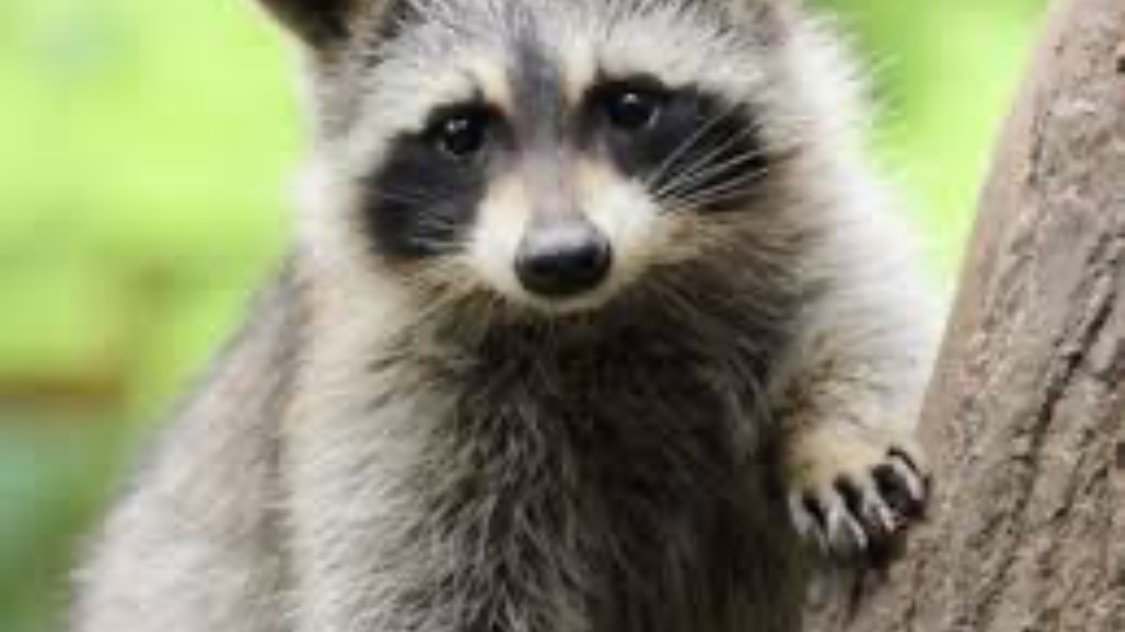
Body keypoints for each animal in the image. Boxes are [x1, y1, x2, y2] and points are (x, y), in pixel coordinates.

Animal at [71, 1, 939, 631]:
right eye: (460, 131)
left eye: (629, 104)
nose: (562, 258)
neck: (601, 309)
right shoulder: (395, 408)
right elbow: (422, 590)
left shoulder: (814, 229)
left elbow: (867, 321)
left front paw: (838, 435)